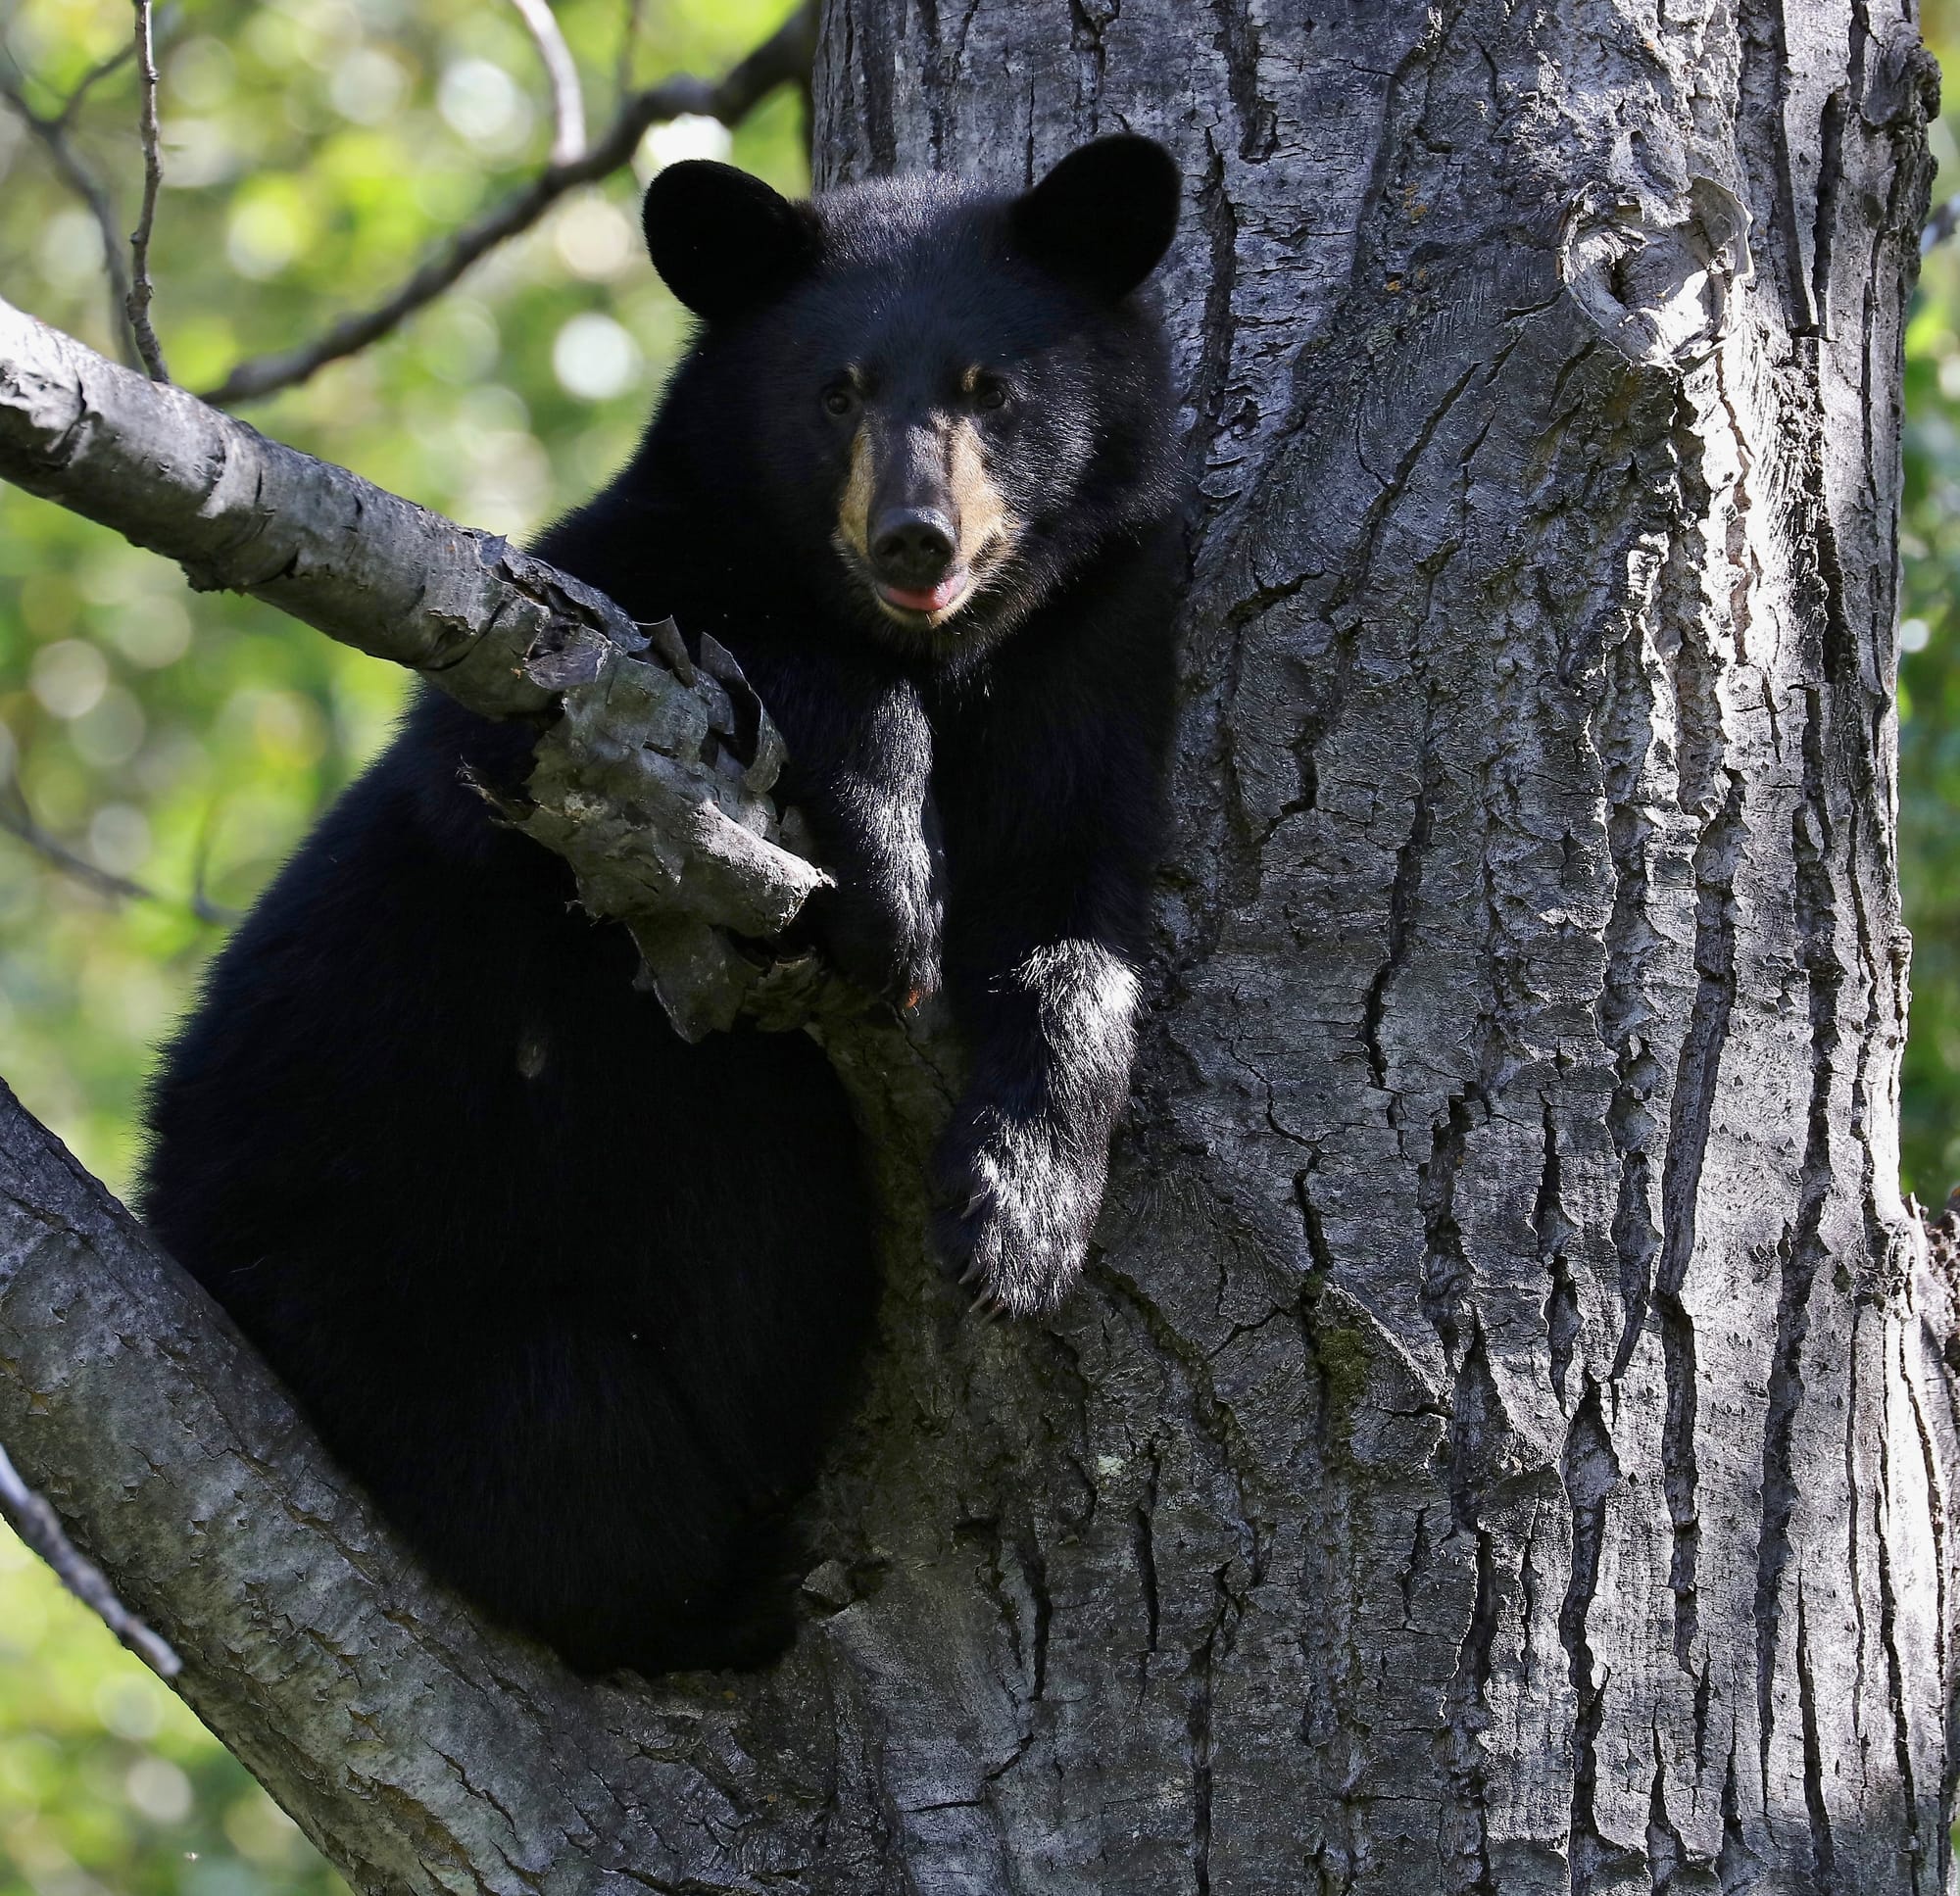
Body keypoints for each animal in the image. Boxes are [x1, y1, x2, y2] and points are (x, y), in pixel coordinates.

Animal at [138, 136, 1184, 1677]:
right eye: (835, 391)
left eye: (992, 387)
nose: (913, 538)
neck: (950, 657)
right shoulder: (588, 619)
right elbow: (564, 733)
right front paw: (892, 866)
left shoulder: (1093, 671)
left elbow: (1080, 927)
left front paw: (1020, 1213)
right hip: (416, 1299)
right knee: (573, 1466)